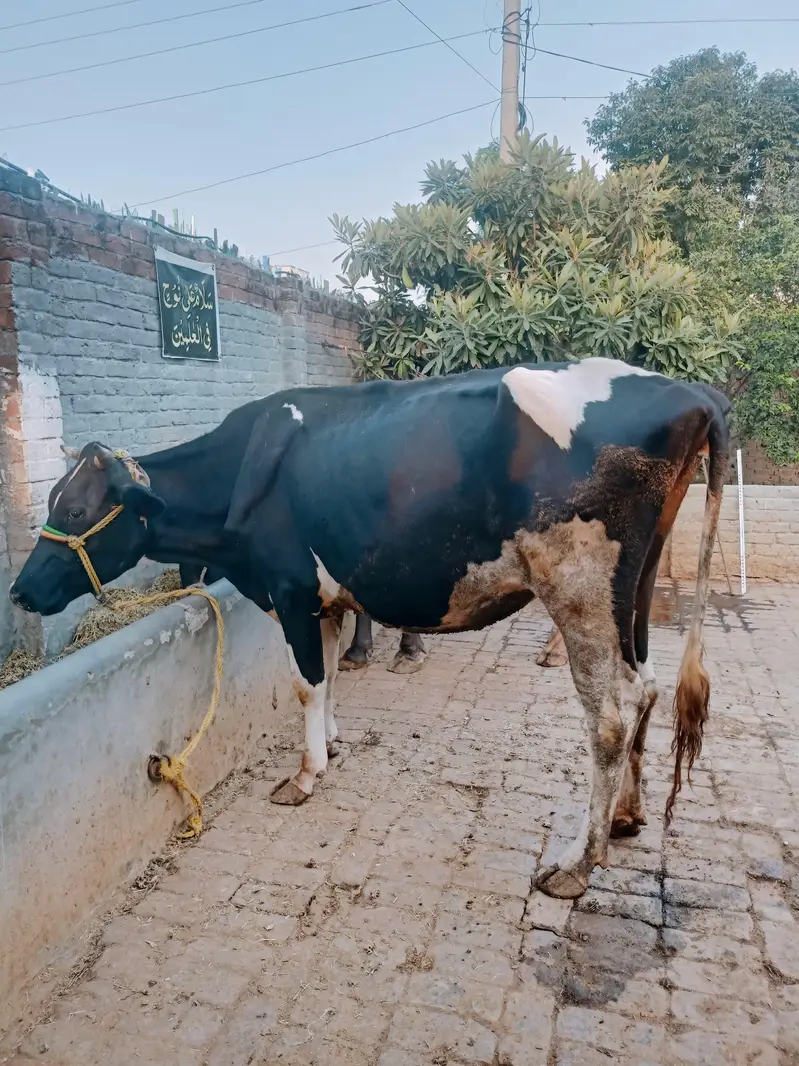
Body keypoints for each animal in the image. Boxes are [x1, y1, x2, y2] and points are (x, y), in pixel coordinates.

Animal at [9, 358, 729, 899]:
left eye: (76, 511)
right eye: (53, 502)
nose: (19, 590)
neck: (241, 472)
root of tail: (694, 393)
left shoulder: (290, 589)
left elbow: (305, 683)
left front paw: (304, 776)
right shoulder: (324, 600)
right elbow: (327, 678)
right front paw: (332, 744)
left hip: (578, 584)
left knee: (607, 718)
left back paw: (578, 865)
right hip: (632, 588)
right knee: (647, 685)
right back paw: (628, 817)